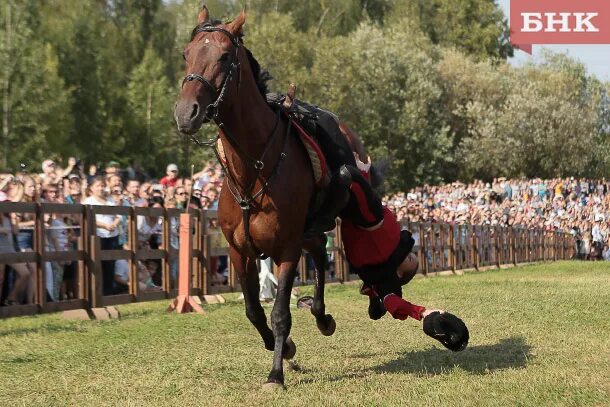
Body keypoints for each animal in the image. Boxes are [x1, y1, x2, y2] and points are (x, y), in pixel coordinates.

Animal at [173, 5, 366, 388]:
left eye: (224, 56)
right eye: (187, 54)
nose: (186, 113)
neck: (253, 168)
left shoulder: (286, 248)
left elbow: (279, 313)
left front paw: (276, 372)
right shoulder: (239, 252)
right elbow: (253, 310)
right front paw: (286, 349)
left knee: (319, 254)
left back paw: (322, 317)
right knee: (318, 252)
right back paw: (320, 316)